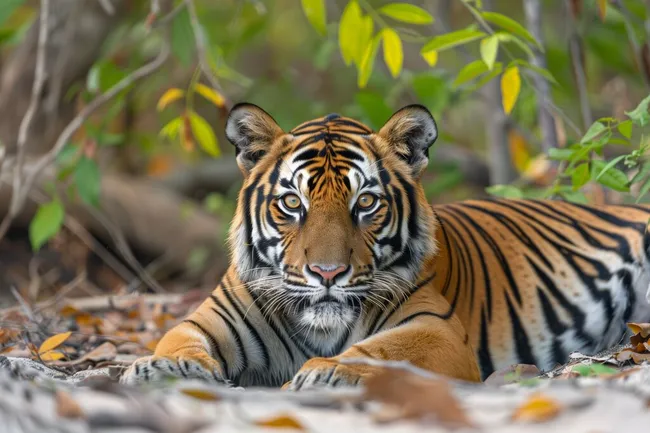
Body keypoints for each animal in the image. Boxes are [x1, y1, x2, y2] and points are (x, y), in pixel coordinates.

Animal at [120, 103, 650, 389]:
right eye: (292, 202)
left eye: (366, 202)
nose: (327, 274)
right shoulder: (206, 320)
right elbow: (180, 341)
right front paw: (158, 367)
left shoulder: (437, 330)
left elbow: (376, 350)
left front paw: (323, 372)